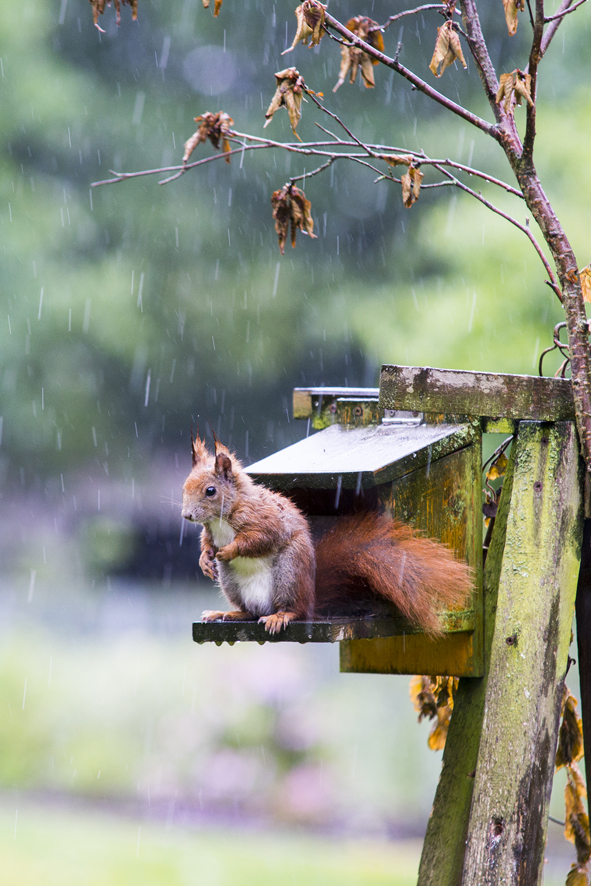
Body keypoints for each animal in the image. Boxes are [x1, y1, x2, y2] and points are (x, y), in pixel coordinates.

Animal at [183, 434, 474, 636]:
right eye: (184, 486)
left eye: (210, 491)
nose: (186, 516)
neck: (221, 518)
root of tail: (310, 600)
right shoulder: (210, 531)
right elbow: (206, 542)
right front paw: (204, 559)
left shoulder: (264, 519)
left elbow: (259, 539)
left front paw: (229, 549)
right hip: (231, 582)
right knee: (249, 612)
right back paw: (229, 612)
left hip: (289, 573)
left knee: (294, 610)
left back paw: (280, 616)